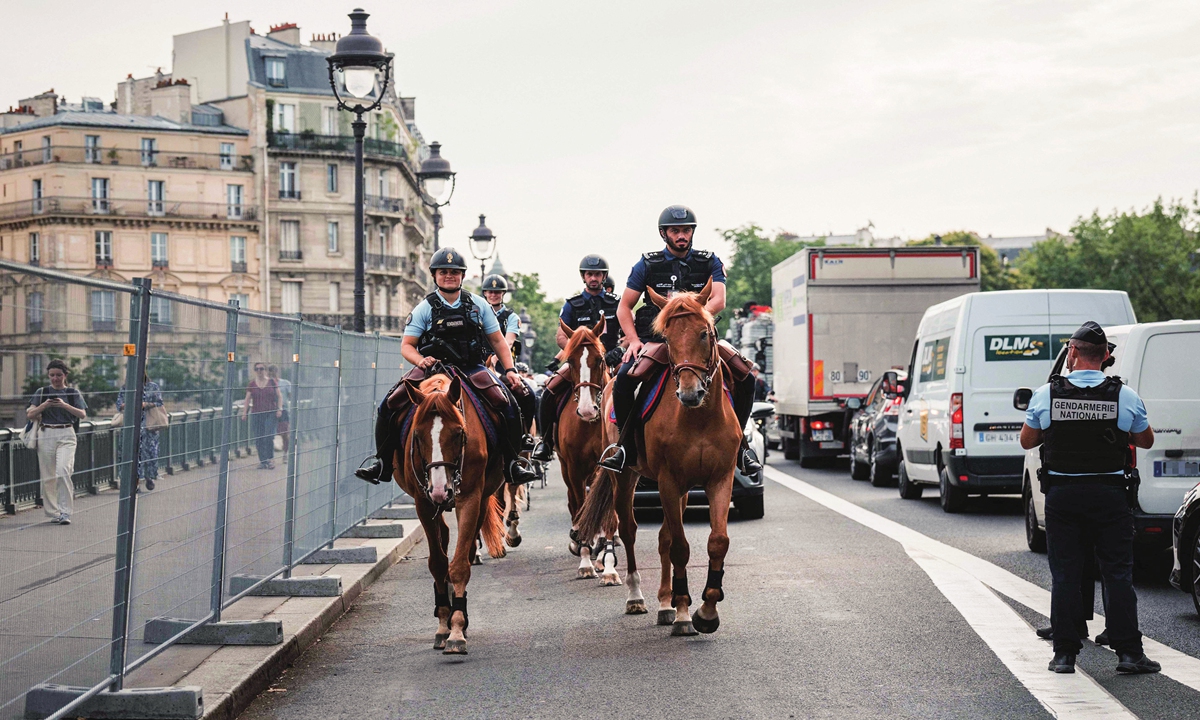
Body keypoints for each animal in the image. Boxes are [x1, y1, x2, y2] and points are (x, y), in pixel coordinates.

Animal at [396, 372, 504, 652]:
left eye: (458, 433)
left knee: (466, 550)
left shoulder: (470, 499)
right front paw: (444, 623)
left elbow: (459, 565)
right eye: (418, 435)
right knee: (443, 538)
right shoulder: (422, 503)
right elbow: (437, 563)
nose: (439, 490)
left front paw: (456, 627)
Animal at [556, 316, 624, 583]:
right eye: (570, 361)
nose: (586, 410)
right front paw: (585, 558)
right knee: (575, 504)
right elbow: (579, 506)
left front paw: (609, 564)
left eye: (600, 359)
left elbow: (608, 513)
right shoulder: (574, 470)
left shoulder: (608, 466)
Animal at [573, 278, 739, 633]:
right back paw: (637, 596)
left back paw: (666, 603)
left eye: (704, 333)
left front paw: (705, 609)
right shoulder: (668, 481)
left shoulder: (719, 479)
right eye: (667, 338)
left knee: (662, 536)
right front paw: (685, 610)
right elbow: (679, 546)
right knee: (629, 530)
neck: (698, 417)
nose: (689, 393)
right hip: (625, 477)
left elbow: (716, 540)